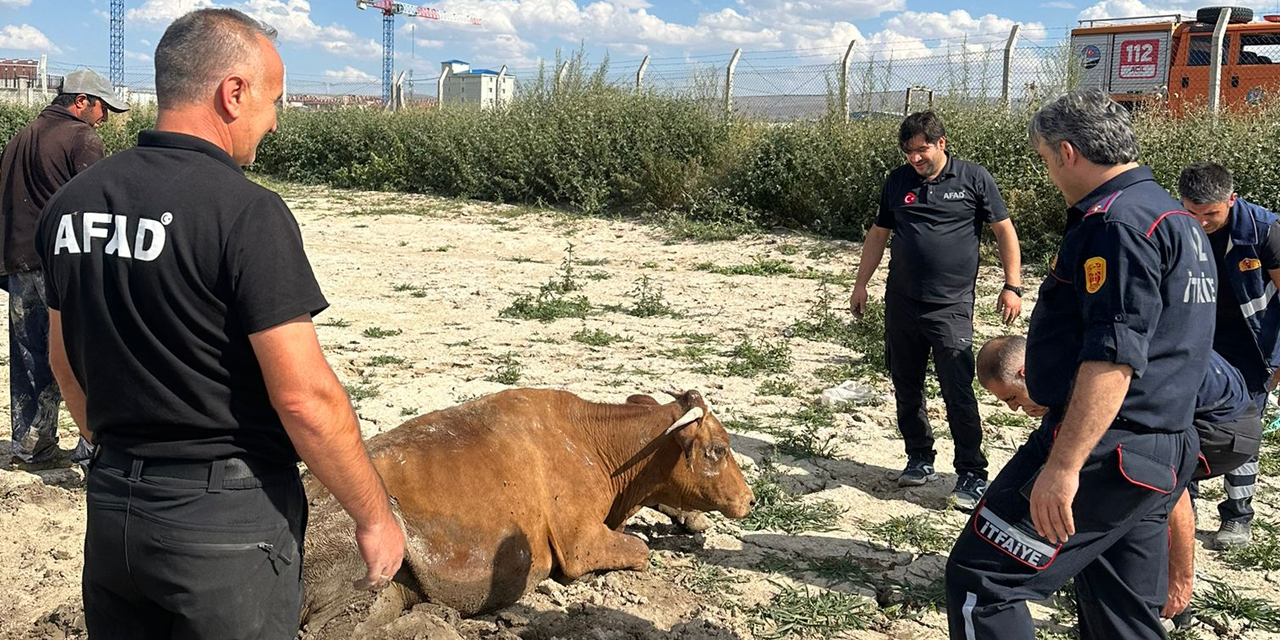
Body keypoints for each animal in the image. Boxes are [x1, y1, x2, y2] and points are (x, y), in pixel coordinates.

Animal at [300, 386, 752, 632]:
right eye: (718, 449)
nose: (749, 499)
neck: (593, 444)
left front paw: (690, 517)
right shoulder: (580, 542)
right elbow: (639, 552)